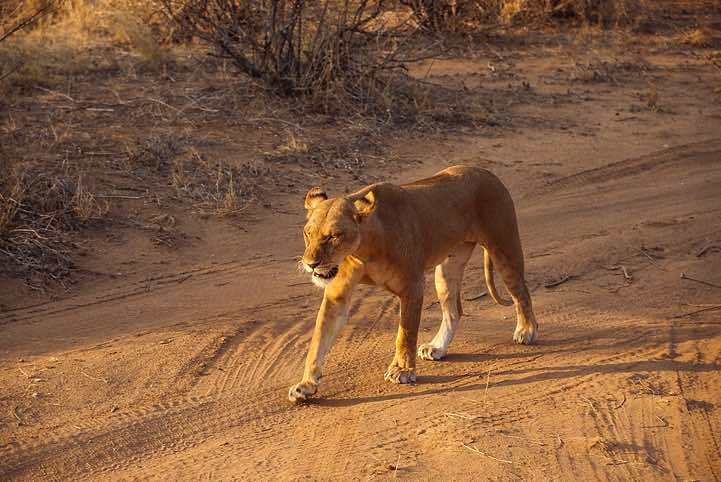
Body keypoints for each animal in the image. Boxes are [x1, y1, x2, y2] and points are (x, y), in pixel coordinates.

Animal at [289, 165, 538, 403]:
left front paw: (402, 370)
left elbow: (405, 333)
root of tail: (485, 171)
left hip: (503, 248)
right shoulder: (336, 295)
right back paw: (438, 347)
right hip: (447, 269)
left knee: (521, 292)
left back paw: (527, 330)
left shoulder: (413, 285)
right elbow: (318, 341)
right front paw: (306, 385)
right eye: (307, 233)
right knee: (454, 311)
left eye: (334, 236)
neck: (363, 249)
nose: (310, 264)